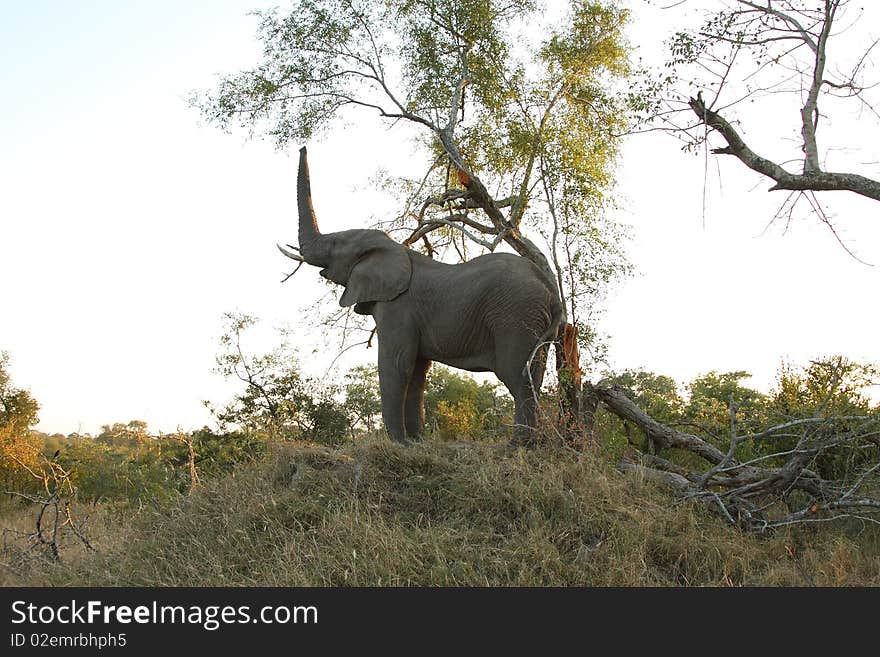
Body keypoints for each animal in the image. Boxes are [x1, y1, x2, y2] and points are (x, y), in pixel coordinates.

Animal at [282, 147, 564, 446]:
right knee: (534, 373)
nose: (302, 148)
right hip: (533, 318)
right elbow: (417, 370)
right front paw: (417, 443)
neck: (396, 249)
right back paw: (530, 443)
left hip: (515, 314)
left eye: (335, 244)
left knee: (517, 375)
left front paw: (399, 444)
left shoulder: (397, 307)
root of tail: (549, 287)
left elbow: (397, 364)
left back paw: (515, 446)